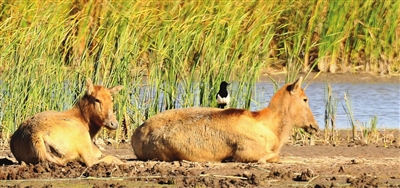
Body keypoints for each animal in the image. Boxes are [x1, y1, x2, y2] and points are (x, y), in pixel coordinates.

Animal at [131, 76, 318, 163]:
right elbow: (274, 156)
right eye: (305, 99)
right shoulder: (246, 151)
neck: (274, 129)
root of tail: (135, 136)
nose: (315, 126)